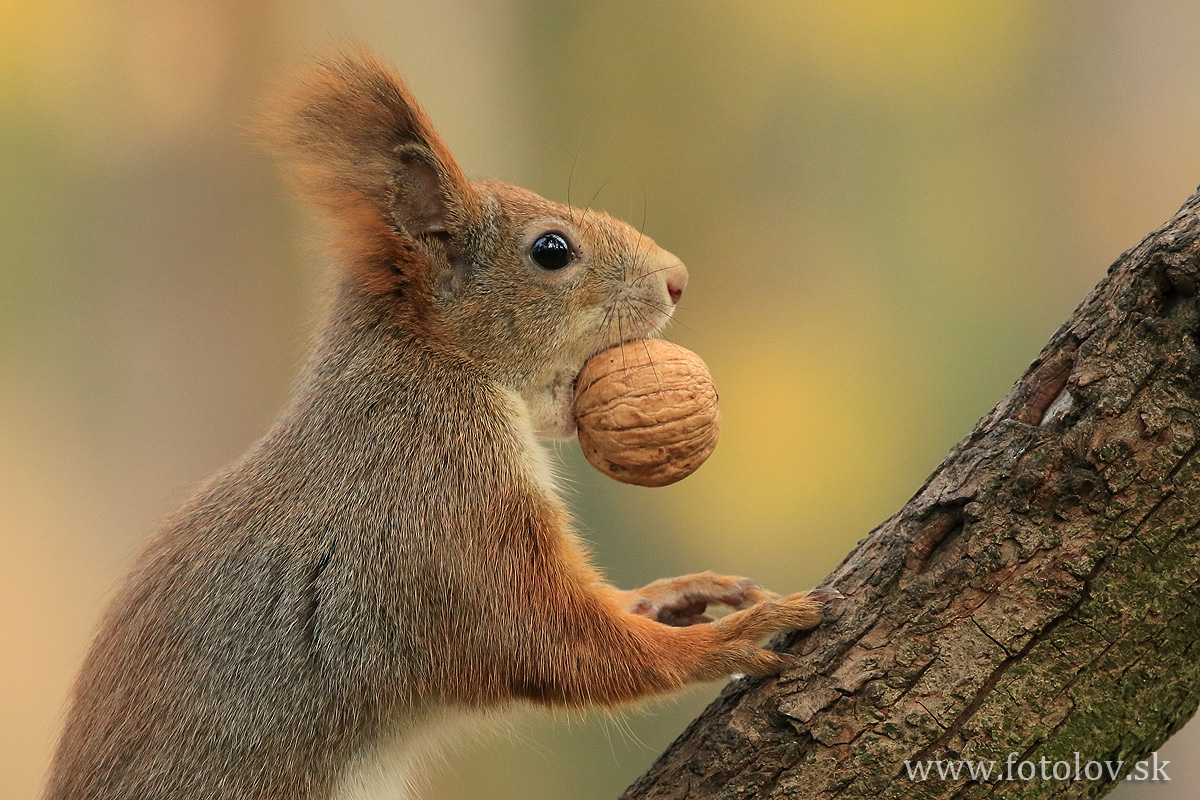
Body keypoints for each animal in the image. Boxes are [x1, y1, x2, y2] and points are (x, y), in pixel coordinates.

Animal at [44, 48, 835, 800]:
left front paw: (674, 594)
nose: (678, 278)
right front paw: (729, 640)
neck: (437, 368)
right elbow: (552, 642)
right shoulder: (441, 511)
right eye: (552, 250)